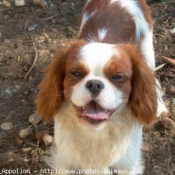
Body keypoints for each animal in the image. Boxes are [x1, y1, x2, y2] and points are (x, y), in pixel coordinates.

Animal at [36, 0, 167, 174]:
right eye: (76, 73)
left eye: (117, 77)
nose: (95, 84)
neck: (96, 133)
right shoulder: (65, 162)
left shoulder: (127, 165)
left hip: (147, 50)